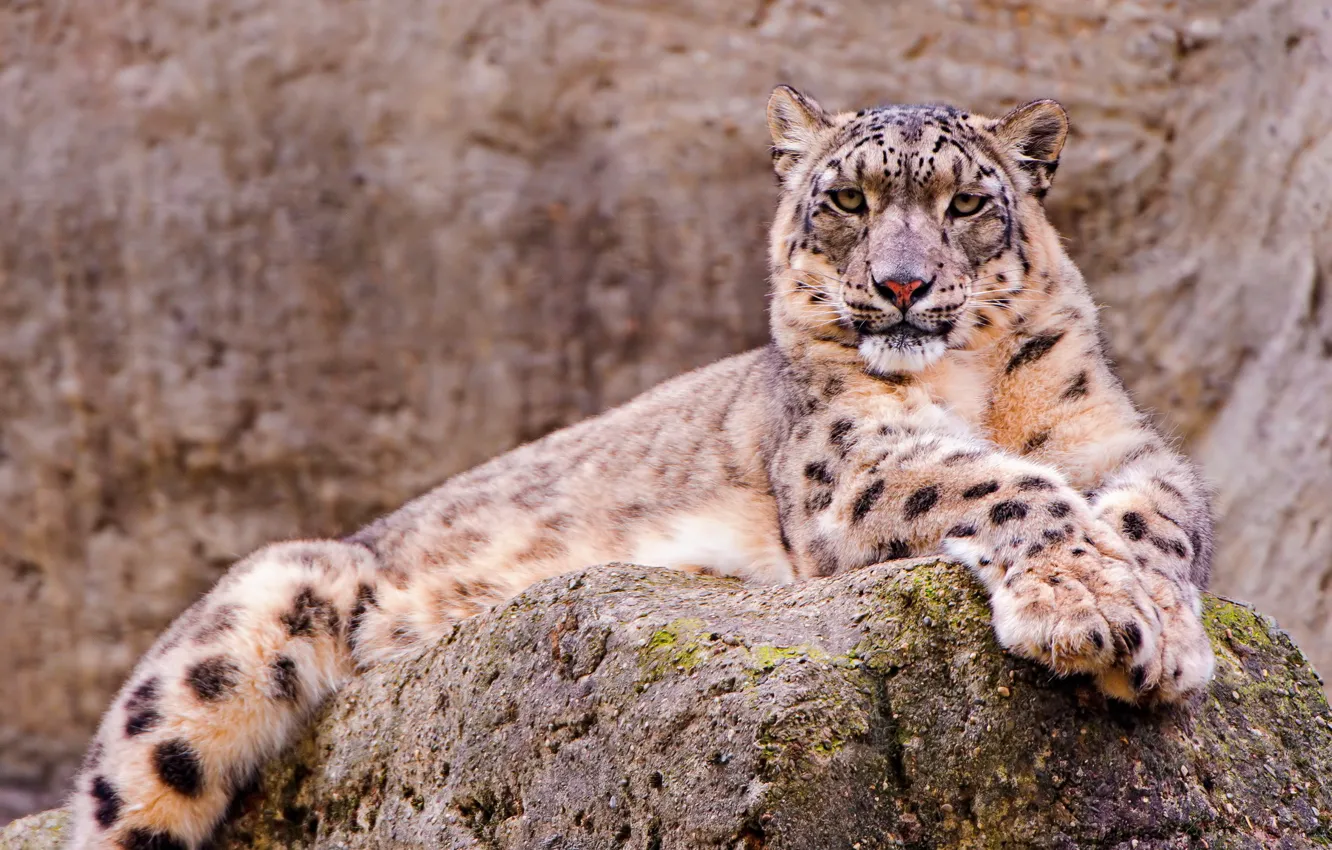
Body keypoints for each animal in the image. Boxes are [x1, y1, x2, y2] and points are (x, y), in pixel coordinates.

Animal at [67, 87, 1215, 849]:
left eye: (965, 205)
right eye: (846, 200)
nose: (900, 284)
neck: (972, 384)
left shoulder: (1114, 438)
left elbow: (1166, 509)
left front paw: (1157, 620)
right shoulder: (846, 459)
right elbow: (1000, 482)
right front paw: (1094, 611)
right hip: (237, 634)